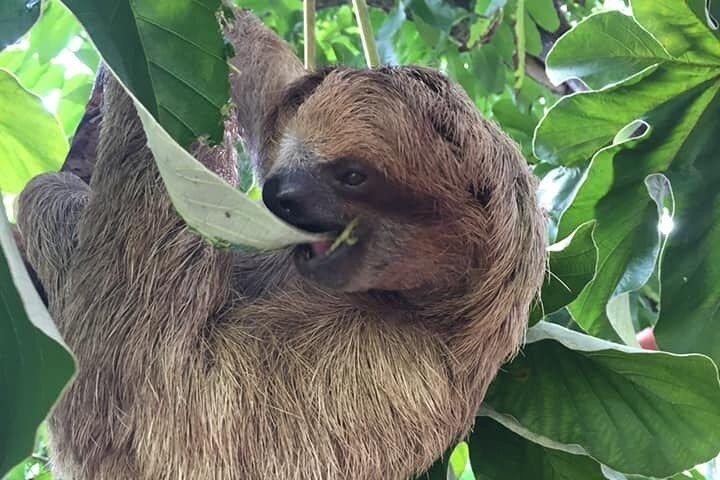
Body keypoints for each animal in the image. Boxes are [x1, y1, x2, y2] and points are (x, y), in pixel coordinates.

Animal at [16, 9, 546, 480]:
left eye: (352, 176)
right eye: (289, 159)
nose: (278, 192)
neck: (425, 308)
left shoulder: (363, 367)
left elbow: (134, 377)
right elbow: (271, 86)